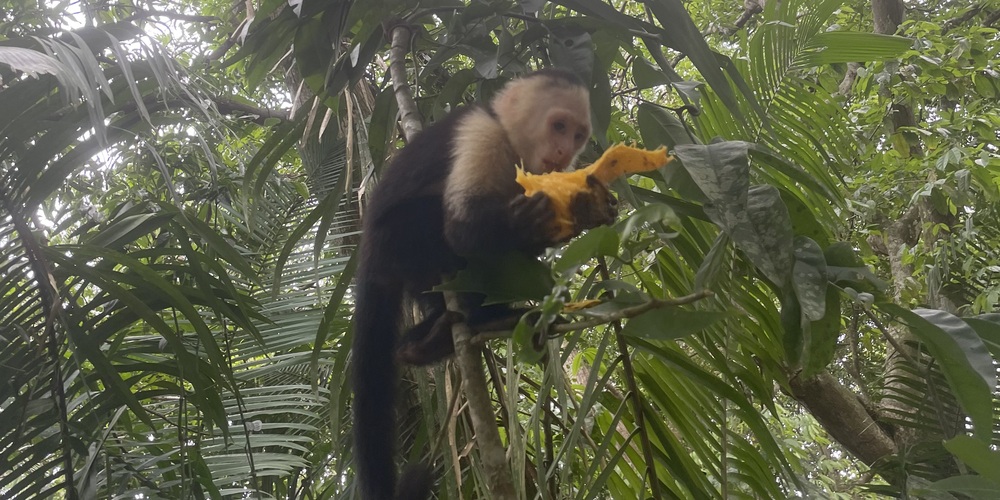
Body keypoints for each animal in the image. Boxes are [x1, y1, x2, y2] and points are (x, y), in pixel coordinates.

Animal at [351, 68, 616, 500]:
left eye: (578, 135)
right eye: (559, 126)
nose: (564, 152)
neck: (512, 146)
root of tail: (368, 250)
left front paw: (583, 210)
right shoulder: (482, 134)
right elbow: (464, 233)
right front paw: (532, 220)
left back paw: (430, 342)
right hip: (399, 240)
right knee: (442, 233)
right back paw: (473, 322)